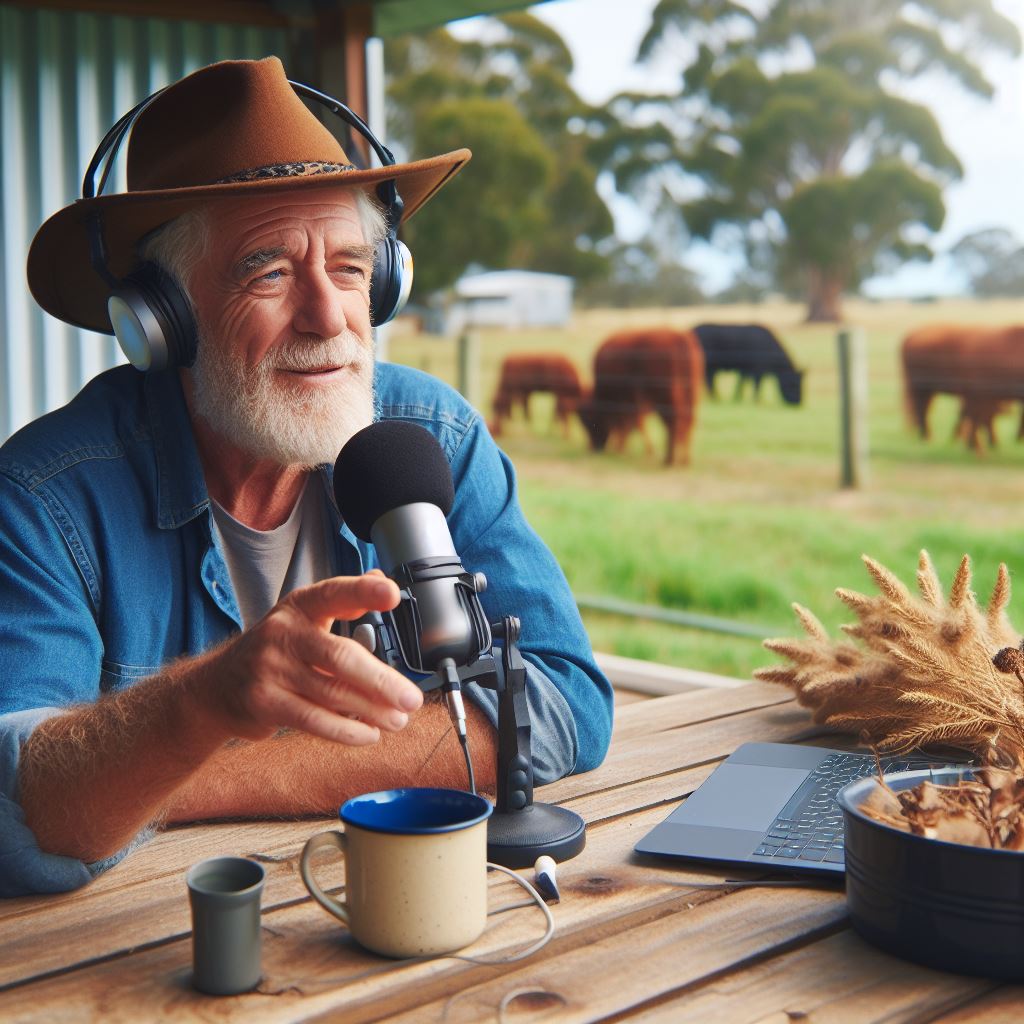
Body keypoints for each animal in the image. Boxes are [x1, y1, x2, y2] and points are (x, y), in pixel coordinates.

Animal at [577, 329, 704, 466]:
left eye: (589, 420)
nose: (594, 448)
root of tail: (680, 337)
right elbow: (630, 423)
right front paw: (622, 447)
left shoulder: (631, 400)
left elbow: (631, 423)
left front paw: (625, 449)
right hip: (691, 395)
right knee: (687, 422)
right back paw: (685, 460)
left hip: (667, 398)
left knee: (673, 422)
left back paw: (669, 460)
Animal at [905, 323, 1024, 452]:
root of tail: (911, 336)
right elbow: (976, 416)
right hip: (921, 388)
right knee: (922, 409)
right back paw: (927, 438)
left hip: (929, 390)